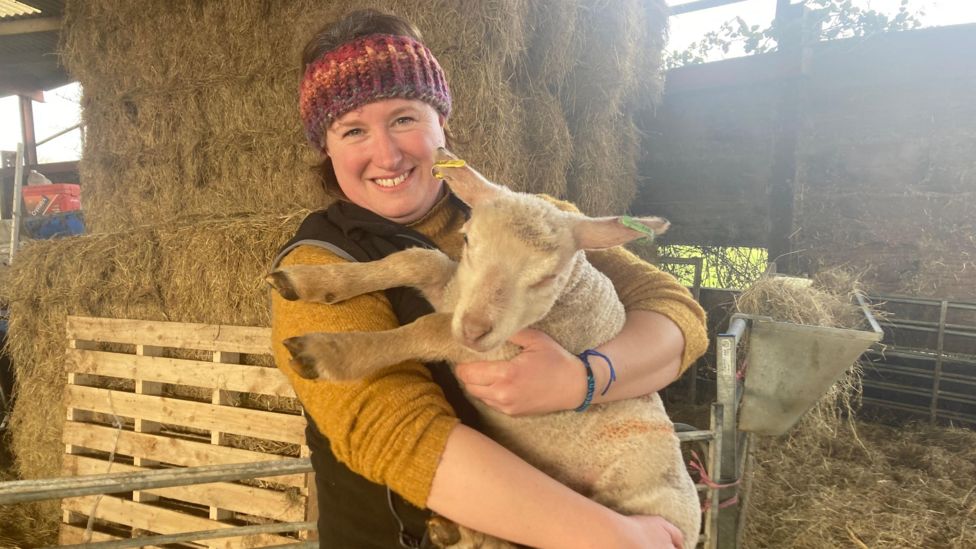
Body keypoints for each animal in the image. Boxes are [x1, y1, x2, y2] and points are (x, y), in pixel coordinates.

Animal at [266, 148, 700, 544]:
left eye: (548, 277)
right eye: (467, 239)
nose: (474, 329)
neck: (564, 301)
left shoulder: (499, 347)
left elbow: (429, 329)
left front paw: (327, 353)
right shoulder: (456, 291)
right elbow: (415, 261)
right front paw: (311, 280)